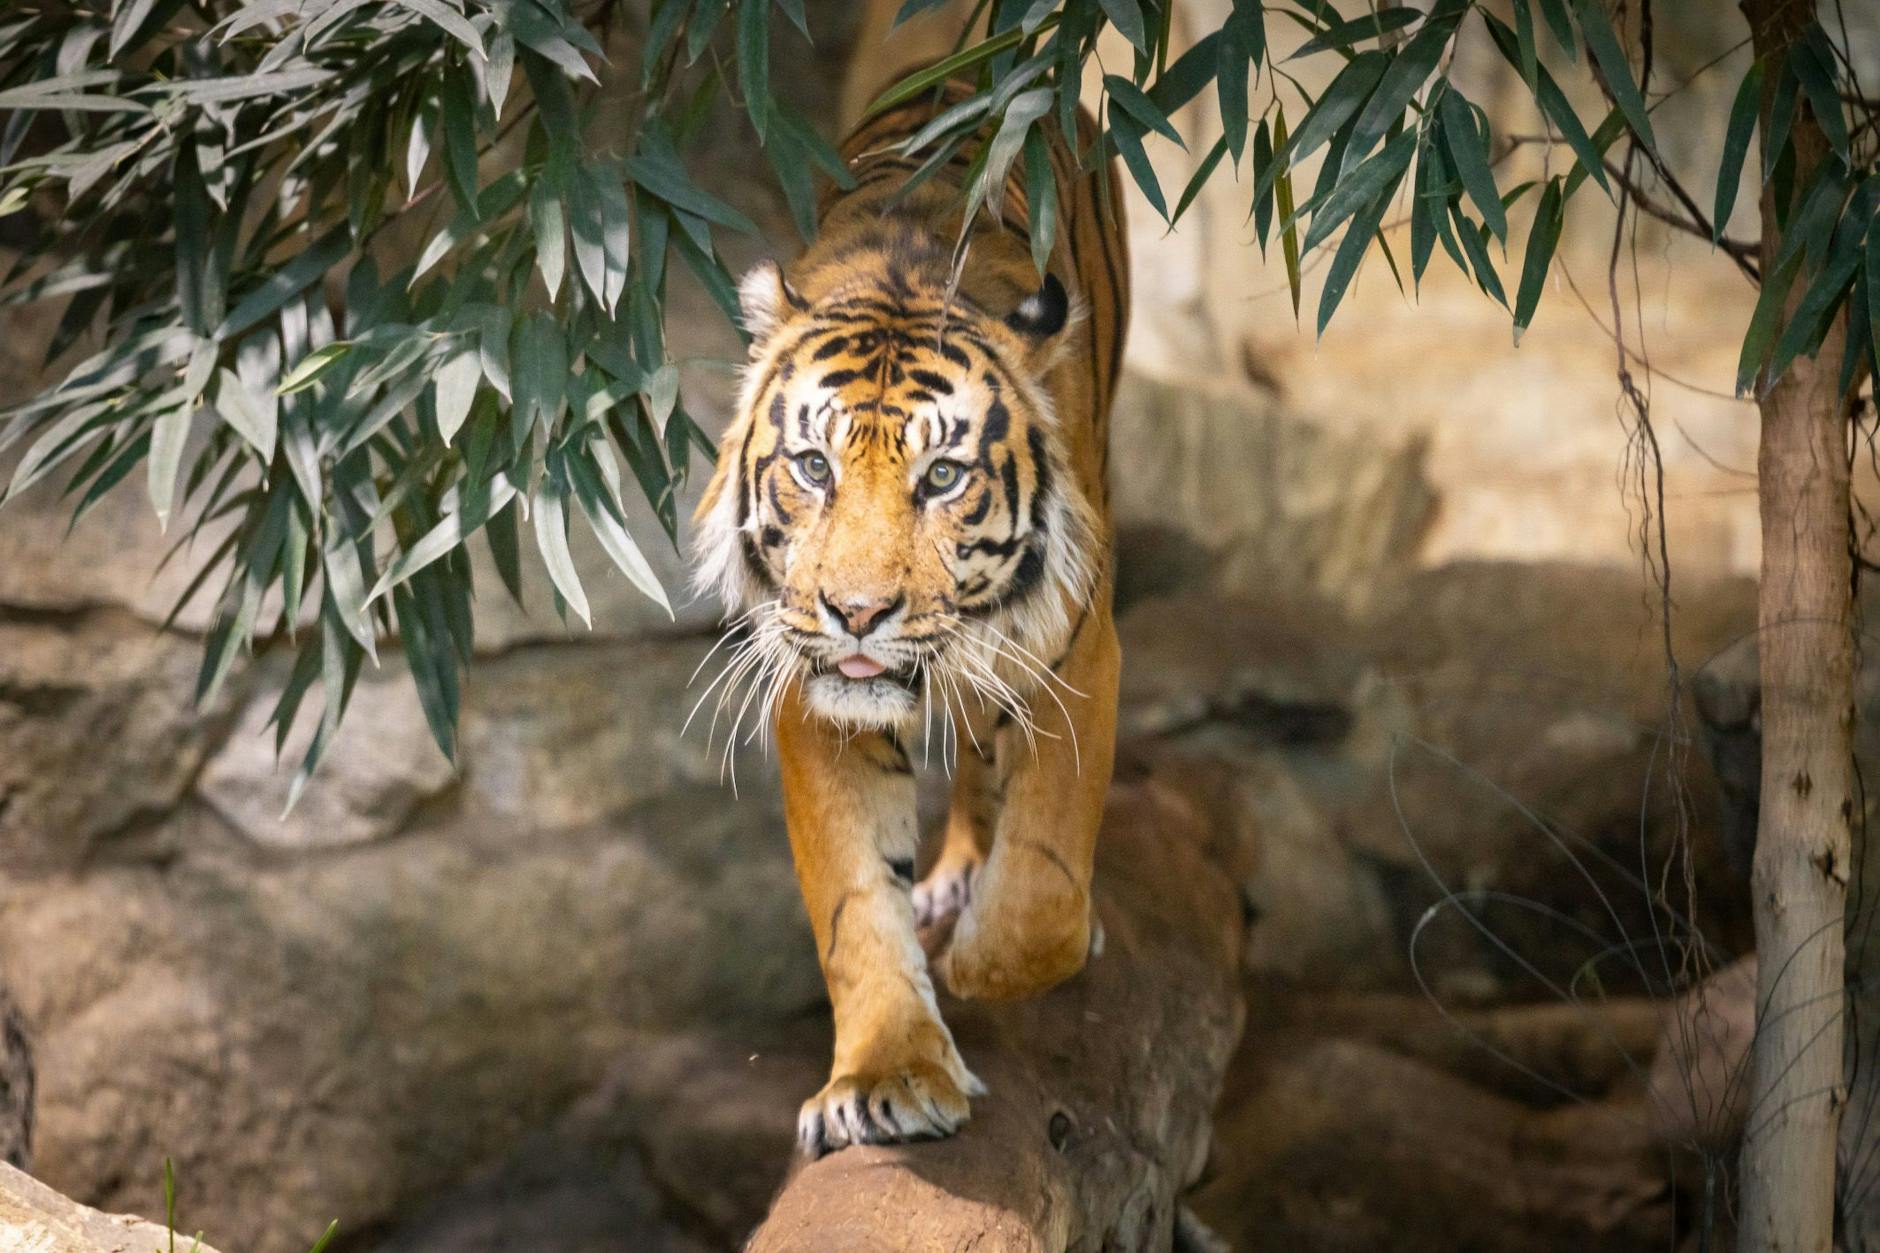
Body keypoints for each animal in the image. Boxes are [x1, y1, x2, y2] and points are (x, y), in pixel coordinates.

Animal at [690, 75, 1129, 1157]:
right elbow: (854, 901)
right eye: (814, 467)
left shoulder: (1076, 653)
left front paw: (979, 963)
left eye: (941, 477)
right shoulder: (811, 694)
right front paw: (885, 1075)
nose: (856, 612)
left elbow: (1045, 882)